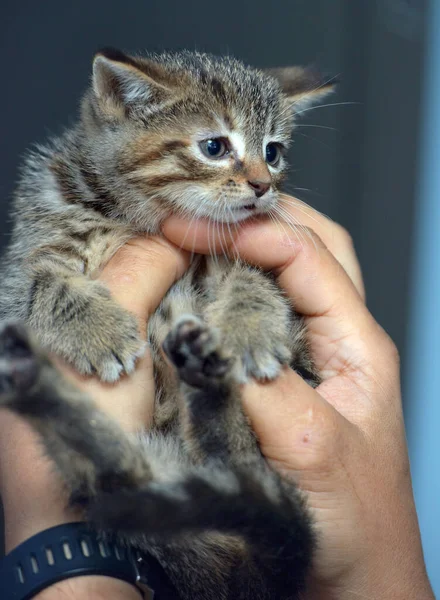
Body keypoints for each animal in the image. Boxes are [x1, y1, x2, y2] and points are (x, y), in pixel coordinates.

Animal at [0, 50, 332, 600]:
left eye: (273, 151)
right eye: (214, 147)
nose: (263, 186)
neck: (130, 214)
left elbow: (256, 279)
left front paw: (249, 329)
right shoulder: (24, 257)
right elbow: (41, 281)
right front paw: (98, 329)